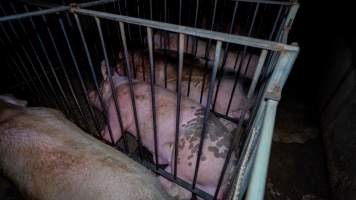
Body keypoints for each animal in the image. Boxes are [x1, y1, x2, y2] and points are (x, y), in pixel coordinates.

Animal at [89, 64, 238, 198]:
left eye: (100, 85)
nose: (89, 93)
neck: (118, 86)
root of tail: (229, 172)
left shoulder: (119, 109)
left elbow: (113, 132)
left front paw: (102, 136)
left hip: (186, 157)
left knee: (183, 191)